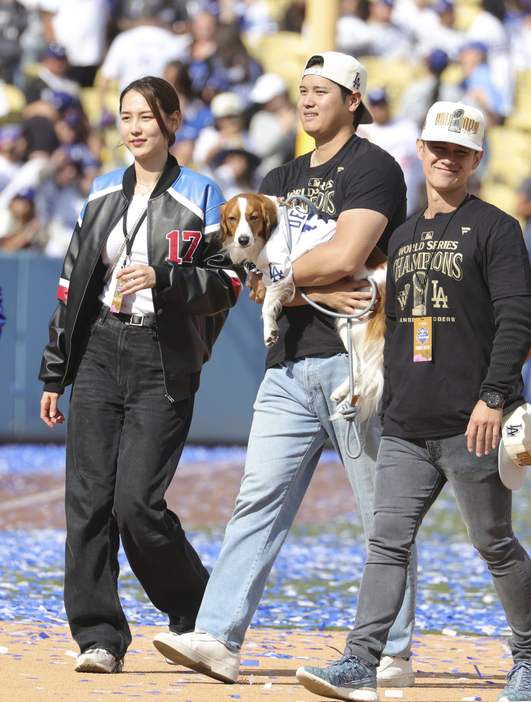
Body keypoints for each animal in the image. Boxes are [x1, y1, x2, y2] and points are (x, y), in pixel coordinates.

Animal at [218, 192, 388, 420]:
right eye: (232, 219)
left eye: (253, 217)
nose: (243, 240)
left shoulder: (279, 271)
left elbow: (267, 304)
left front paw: (269, 332)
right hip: (347, 322)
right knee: (359, 366)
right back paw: (342, 393)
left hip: (357, 319)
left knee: (366, 370)